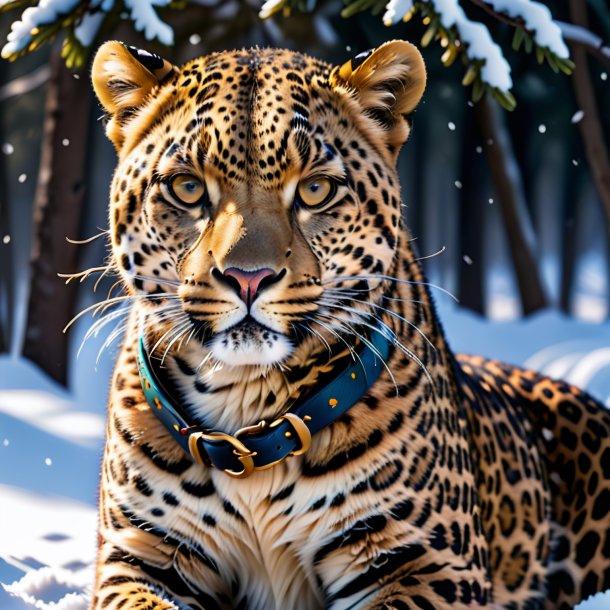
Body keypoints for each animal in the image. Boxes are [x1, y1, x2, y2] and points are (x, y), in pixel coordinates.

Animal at [88, 39, 604, 608]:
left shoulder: (431, 563)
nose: (248, 277)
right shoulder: (138, 556)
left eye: (315, 190)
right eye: (185, 187)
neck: (246, 404)